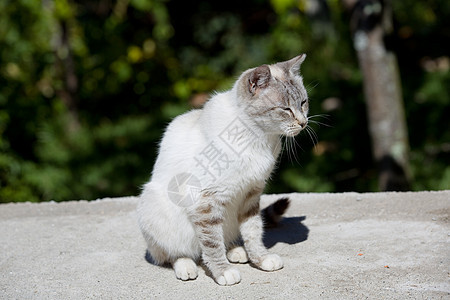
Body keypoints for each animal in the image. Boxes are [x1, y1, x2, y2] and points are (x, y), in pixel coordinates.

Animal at [137, 54, 310, 286]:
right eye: (285, 109)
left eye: (303, 103)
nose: (303, 123)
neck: (259, 138)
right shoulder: (205, 202)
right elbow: (212, 244)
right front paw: (223, 272)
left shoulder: (251, 195)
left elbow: (253, 232)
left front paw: (261, 259)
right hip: (154, 206)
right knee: (173, 254)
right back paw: (187, 267)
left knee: (226, 239)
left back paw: (237, 252)